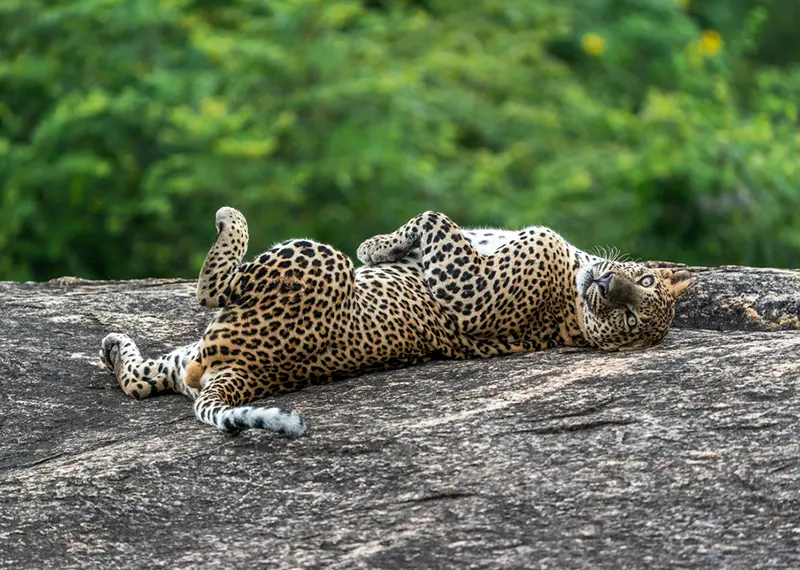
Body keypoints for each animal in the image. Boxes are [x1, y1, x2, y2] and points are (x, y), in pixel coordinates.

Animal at [99, 208, 696, 438]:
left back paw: (231, 220)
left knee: (213, 284)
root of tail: (248, 374)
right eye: (643, 281)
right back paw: (112, 344)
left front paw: (374, 246)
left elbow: (433, 219)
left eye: (630, 317)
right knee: (140, 381)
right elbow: (433, 224)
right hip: (188, 360)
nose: (608, 287)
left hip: (314, 259)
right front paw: (388, 248)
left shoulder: (471, 291)